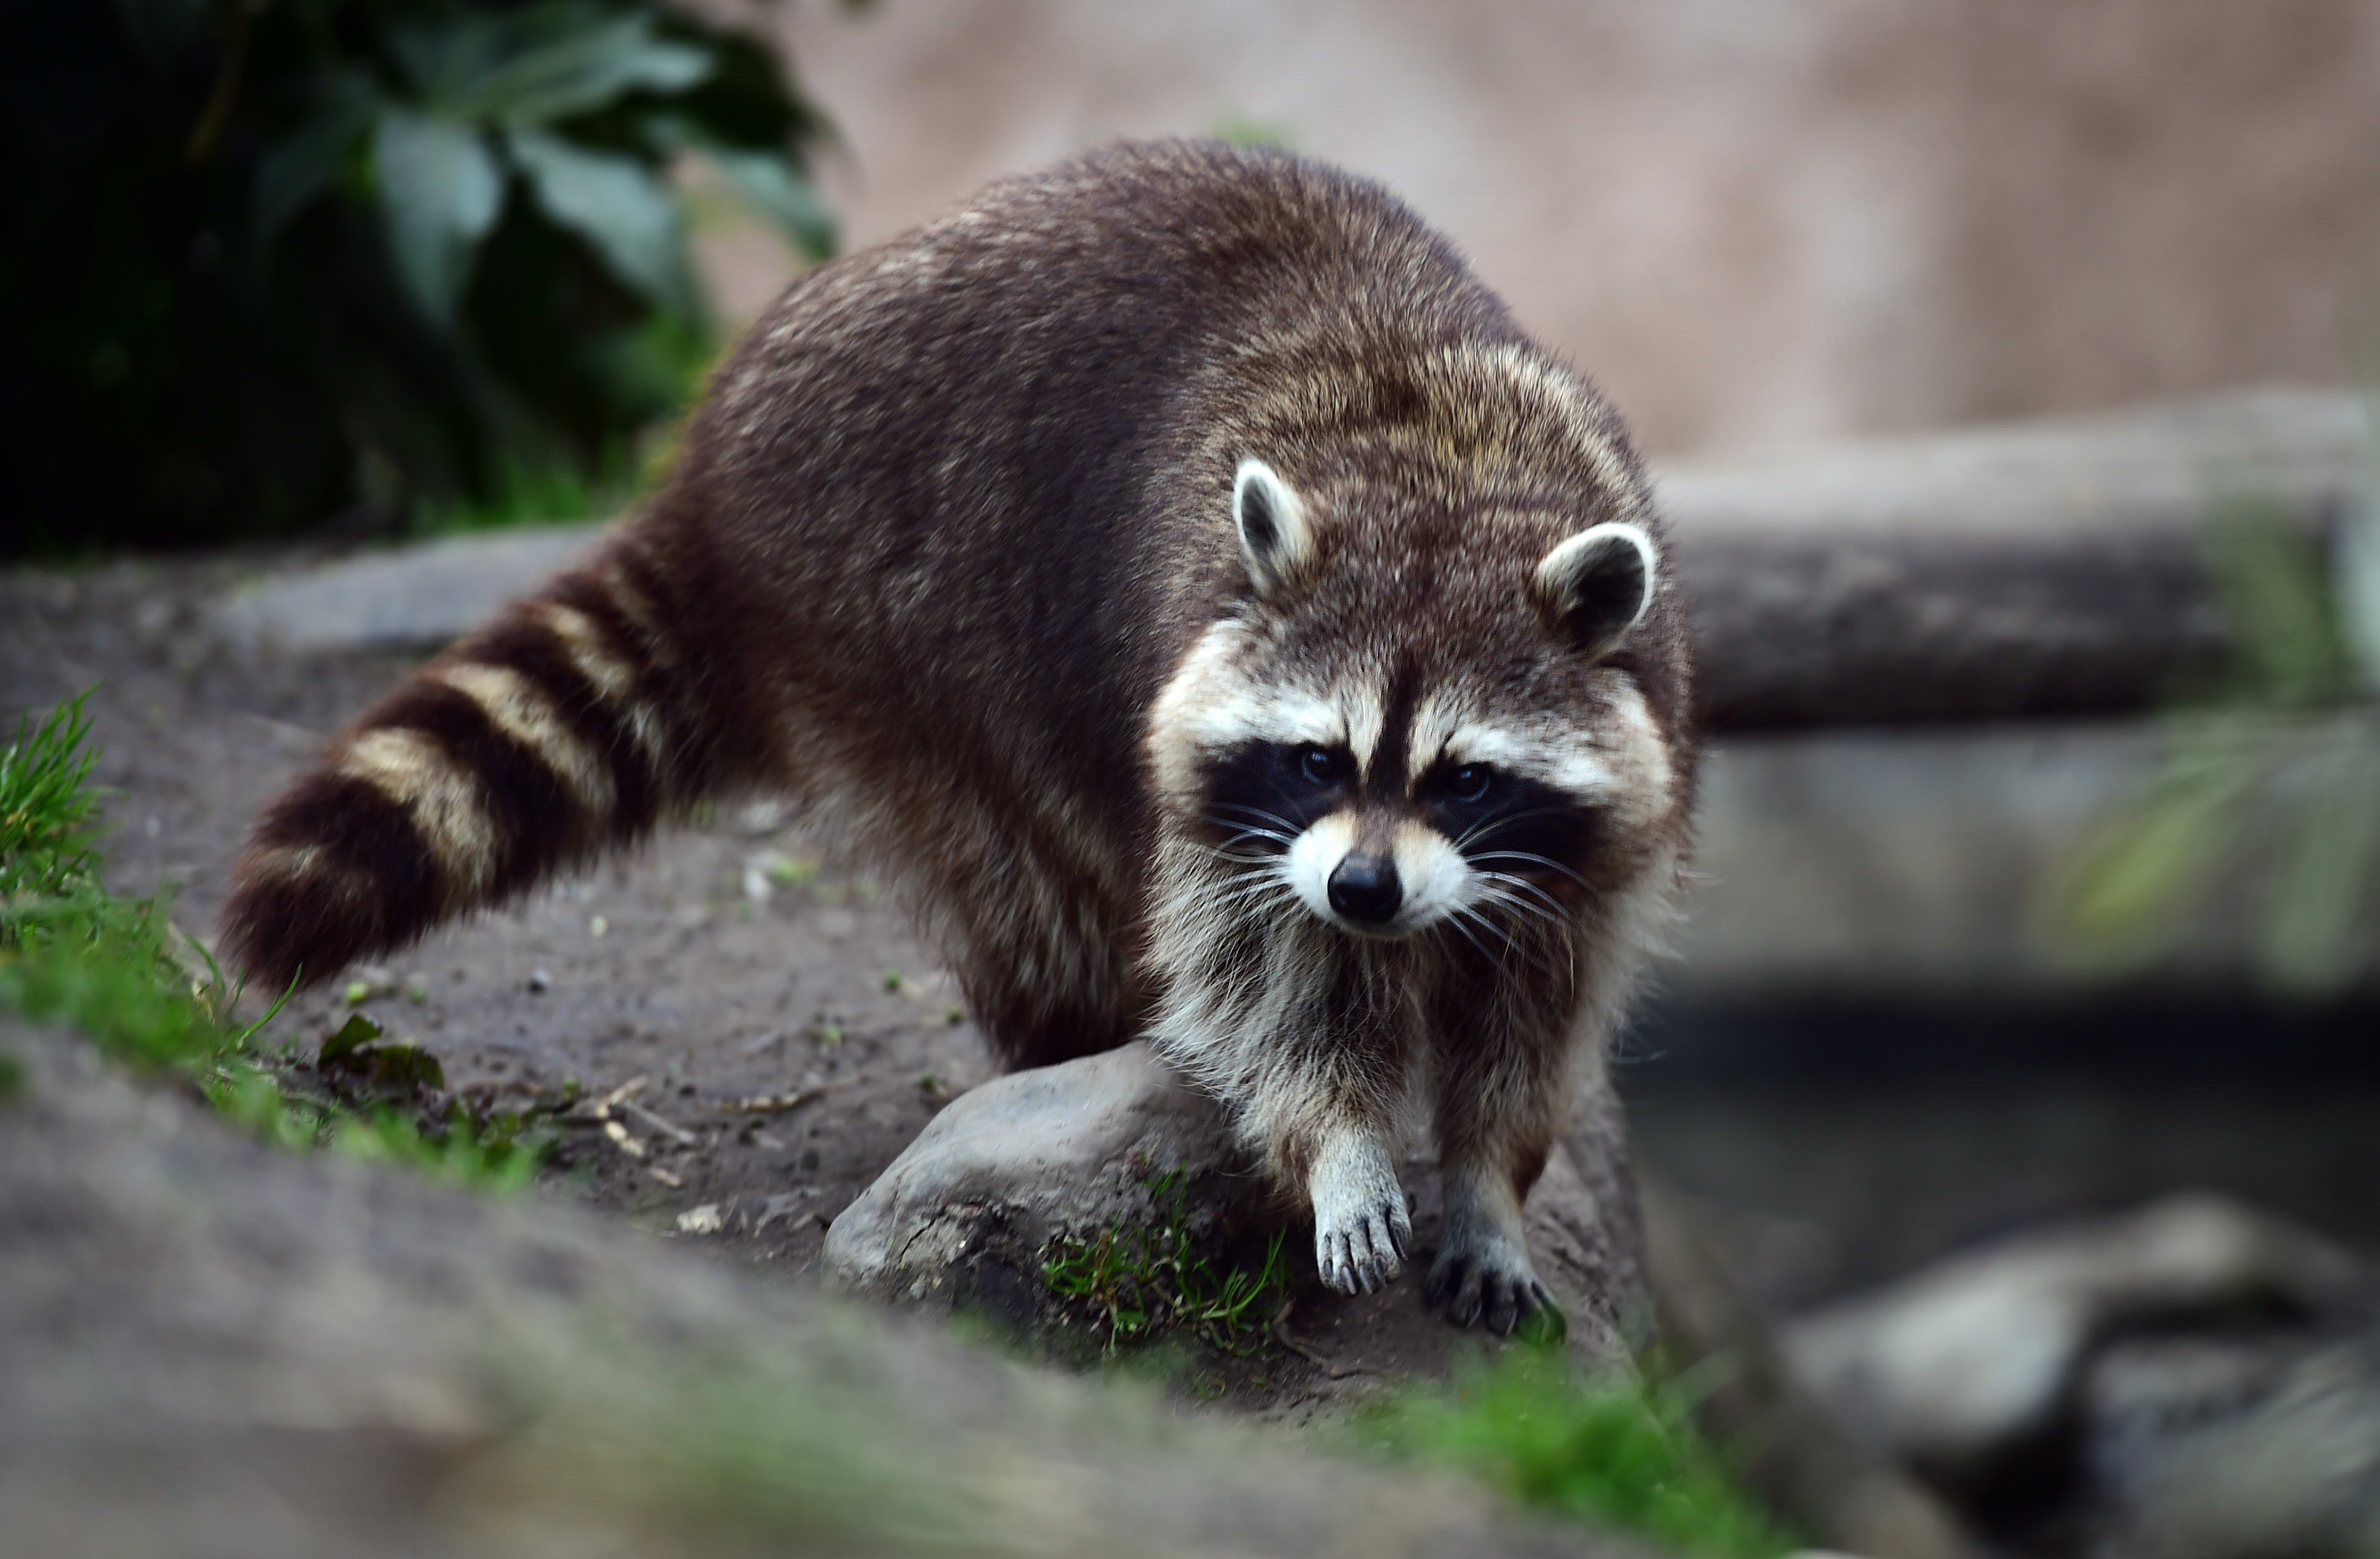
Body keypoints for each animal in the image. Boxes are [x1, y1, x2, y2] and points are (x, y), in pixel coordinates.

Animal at [219, 137, 1695, 1333]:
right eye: (1320, 758)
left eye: (1464, 777)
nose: (1367, 890)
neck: (1437, 481)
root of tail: (715, 464)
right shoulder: (1235, 814)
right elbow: (1269, 979)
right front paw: (1337, 1142)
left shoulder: (1600, 819)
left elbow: (1538, 1004)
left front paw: (1491, 1184)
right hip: (895, 626)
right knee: (1029, 879)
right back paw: (1076, 1040)